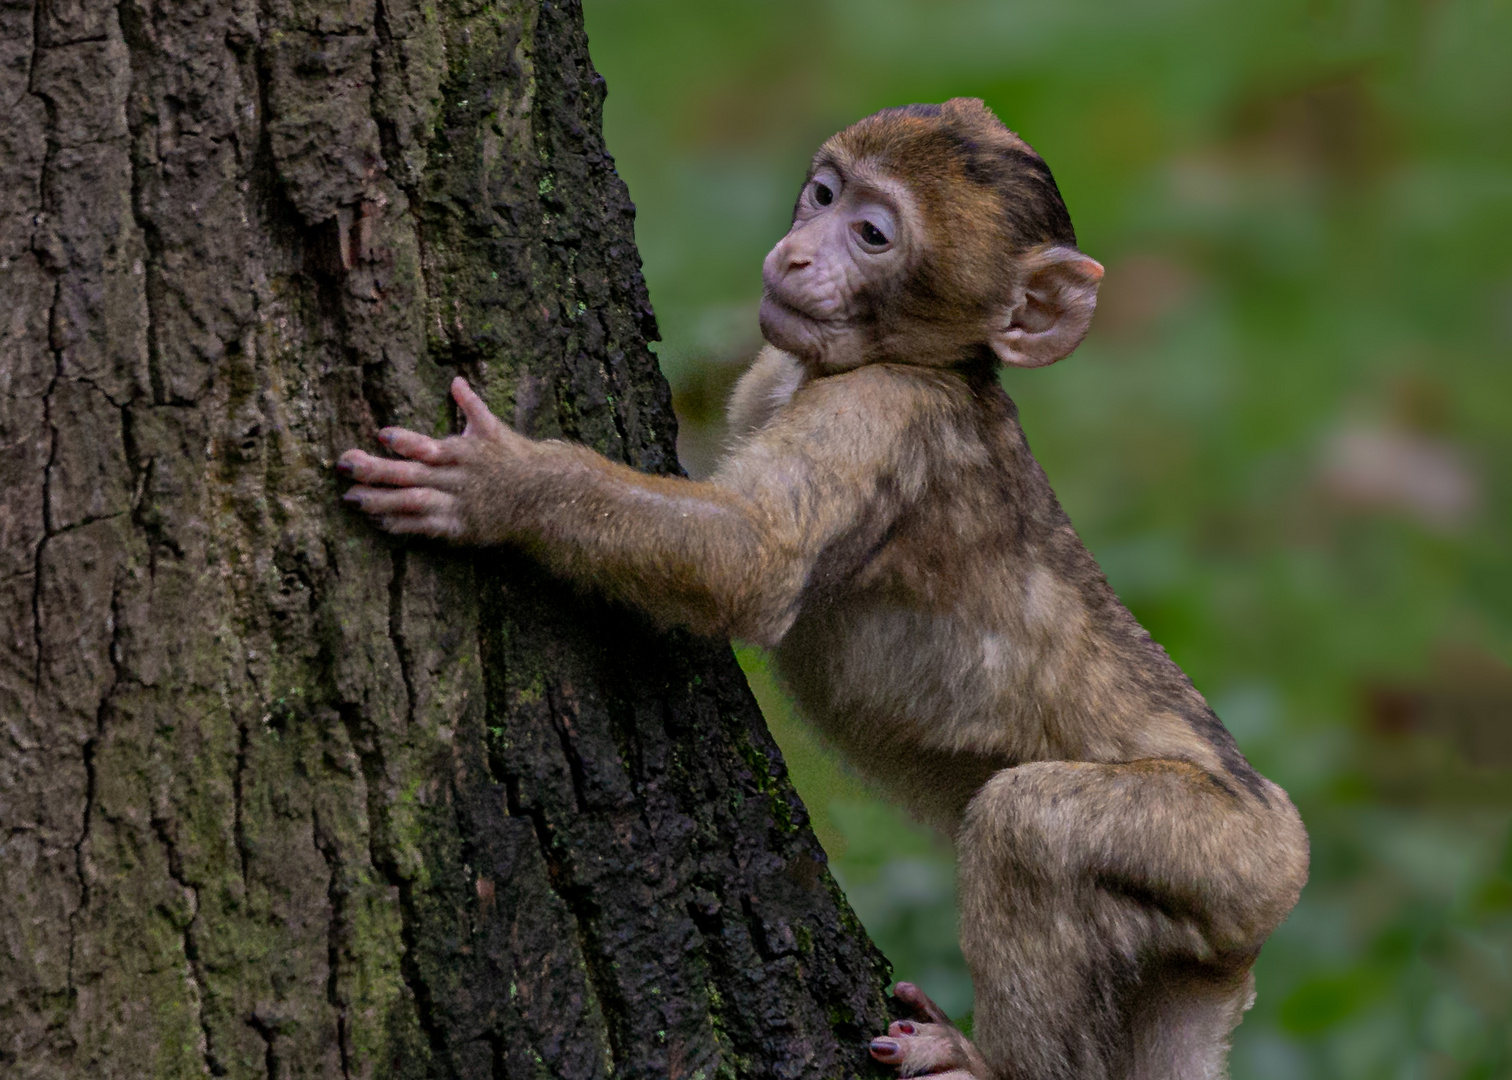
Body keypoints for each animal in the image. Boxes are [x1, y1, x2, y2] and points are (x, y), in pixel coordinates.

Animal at [337, 96, 1306, 1070]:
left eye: (873, 235)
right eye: (824, 193)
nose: (799, 253)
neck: (932, 362)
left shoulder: (882, 411)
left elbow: (752, 564)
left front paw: (505, 487)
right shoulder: (775, 375)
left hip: (1225, 855)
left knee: (1026, 825)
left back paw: (987, 1064)